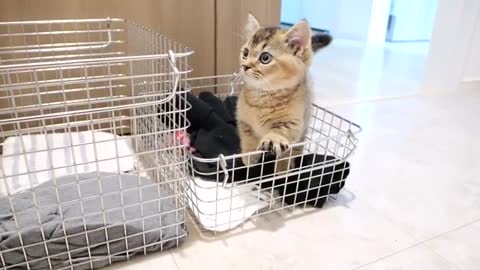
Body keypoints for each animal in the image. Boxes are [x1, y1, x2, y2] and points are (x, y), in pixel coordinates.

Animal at [237, 13, 322, 172]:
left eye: (265, 58)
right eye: (245, 53)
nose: (244, 66)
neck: (262, 98)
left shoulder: (294, 122)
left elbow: (281, 133)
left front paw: (272, 139)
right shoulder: (243, 121)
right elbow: (247, 137)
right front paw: (249, 157)